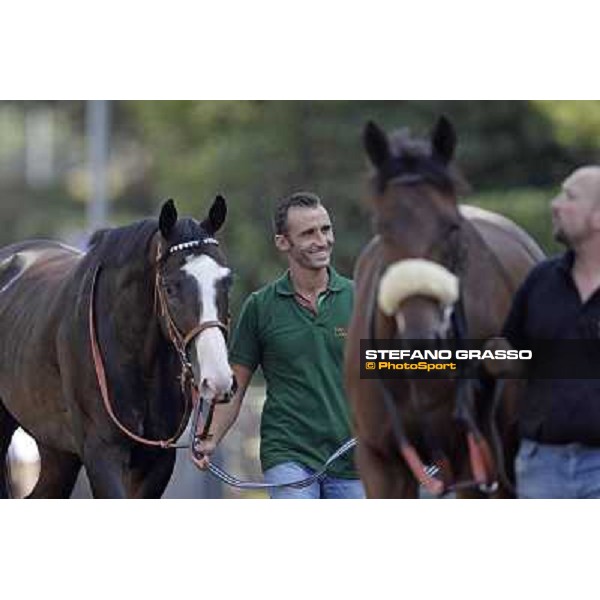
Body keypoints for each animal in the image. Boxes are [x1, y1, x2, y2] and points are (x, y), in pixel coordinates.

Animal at [0, 196, 234, 496]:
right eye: (170, 287)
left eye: (227, 281)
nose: (218, 380)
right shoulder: (102, 453)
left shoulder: (157, 460)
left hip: (57, 449)